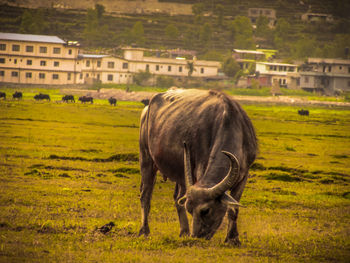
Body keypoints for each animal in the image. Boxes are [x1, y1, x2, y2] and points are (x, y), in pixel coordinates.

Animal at [139, 89, 258, 246]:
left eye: (205, 210)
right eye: (190, 209)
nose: (196, 236)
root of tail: (147, 108)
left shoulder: (244, 175)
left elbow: (233, 209)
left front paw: (232, 239)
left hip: (180, 173)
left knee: (177, 197)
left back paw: (184, 231)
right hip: (146, 159)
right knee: (146, 196)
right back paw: (144, 231)